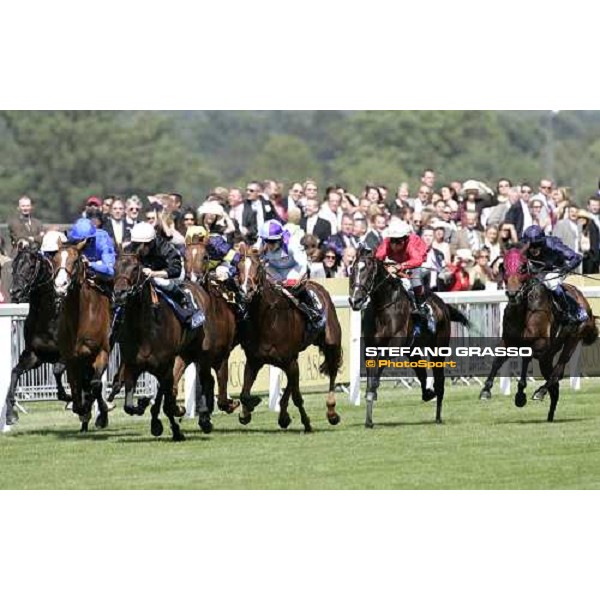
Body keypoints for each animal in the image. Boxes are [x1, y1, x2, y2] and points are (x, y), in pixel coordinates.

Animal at [52, 241, 113, 434]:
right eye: (54, 259)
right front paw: (77, 406)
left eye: (76, 260)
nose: (60, 285)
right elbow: (74, 385)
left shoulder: (102, 351)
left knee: (94, 383)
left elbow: (95, 384)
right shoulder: (71, 358)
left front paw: (98, 410)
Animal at [234, 244, 342, 432]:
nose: (247, 291)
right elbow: (244, 393)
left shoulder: (289, 360)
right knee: (291, 384)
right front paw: (246, 412)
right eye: (238, 267)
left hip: (331, 343)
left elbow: (298, 397)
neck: (266, 320)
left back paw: (331, 413)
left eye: (258, 267)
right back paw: (283, 416)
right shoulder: (254, 360)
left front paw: (307, 423)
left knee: (333, 372)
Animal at [350, 246, 472, 428]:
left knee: (440, 381)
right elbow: (371, 382)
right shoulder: (370, 348)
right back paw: (427, 393)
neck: (383, 307)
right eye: (353, 270)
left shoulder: (393, 346)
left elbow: (375, 378)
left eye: (370, 271)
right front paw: (369, 420)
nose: (355, 300)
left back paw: (438, 415)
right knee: (421, 371)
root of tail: (443, 305)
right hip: (413, 349)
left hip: (438, 350)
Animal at [476, 246, 596, 420]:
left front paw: (520, 395)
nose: (513, 294)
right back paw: (550, 415)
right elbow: (497, 361)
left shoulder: (540, 344)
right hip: (548, 356)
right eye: (503, 267)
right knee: (555, 383)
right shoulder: (508, 341)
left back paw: (540, 392)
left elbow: (526, 360)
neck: (524, 310)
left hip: (572, 340)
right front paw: (486, 390)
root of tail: (583, 301)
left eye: (522, 268)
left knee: (558, 370)